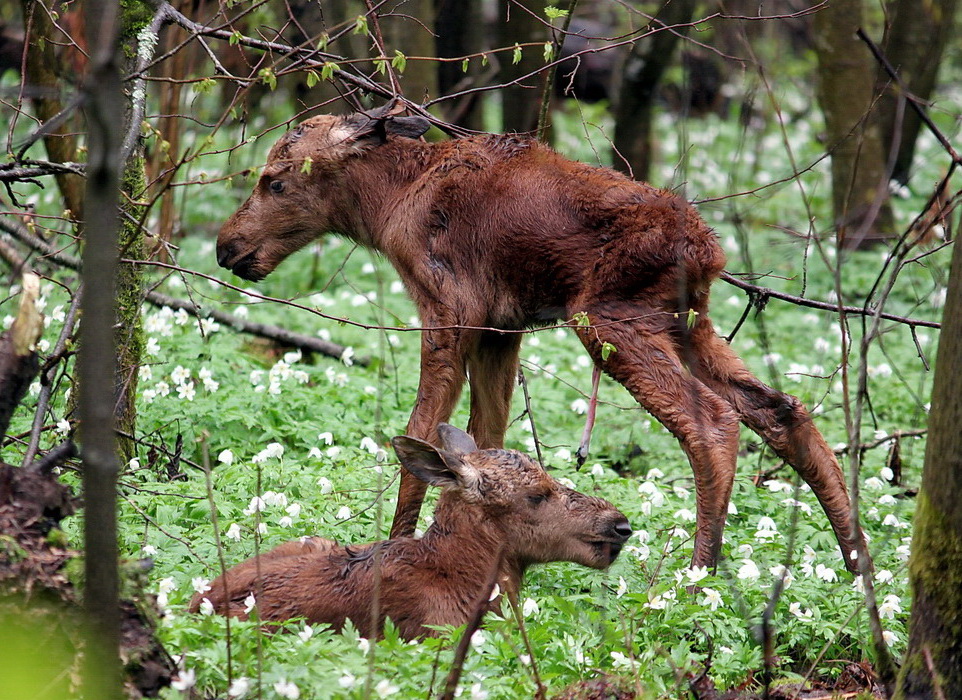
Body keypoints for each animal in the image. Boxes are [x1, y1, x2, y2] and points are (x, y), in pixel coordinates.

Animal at [216, 105, 864, 576]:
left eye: (274, 181)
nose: (226, 246)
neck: (387, 205)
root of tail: (710, 252)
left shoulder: (448, 311)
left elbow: (420, 434)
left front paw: (393, 549)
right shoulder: (502, 330)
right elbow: (486, 437)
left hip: (607, 320)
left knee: (713, 423)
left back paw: (698, 573)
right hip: (688, 324)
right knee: (782, 410)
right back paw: (859, 565)